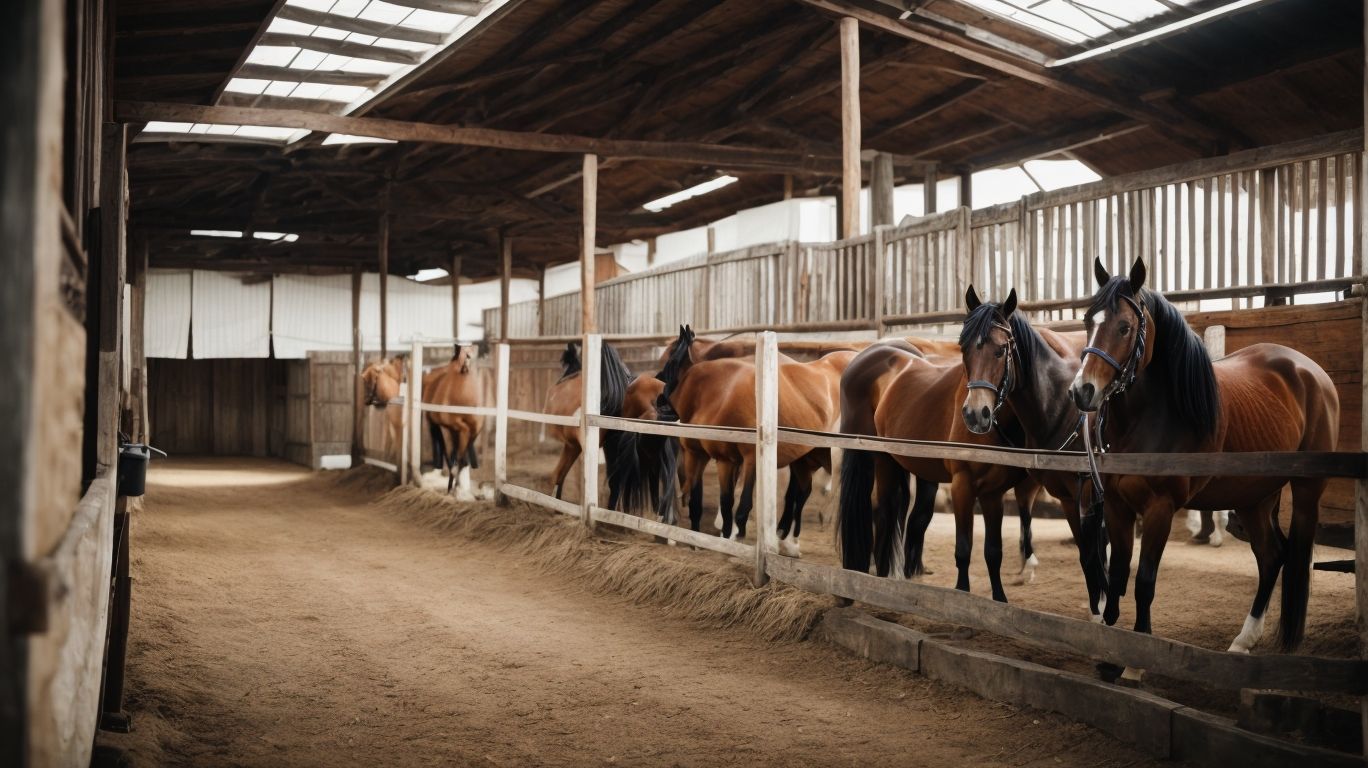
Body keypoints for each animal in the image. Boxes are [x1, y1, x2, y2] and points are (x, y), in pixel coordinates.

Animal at [639, 325, 853, 557]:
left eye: (671, 361)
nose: (659, 399)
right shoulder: (720, 458)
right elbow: (723, 500)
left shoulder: (749, 458)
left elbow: (744, 502)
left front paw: (735, 535)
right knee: (801, 493)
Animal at [837, 332, 1041, 602]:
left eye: (1001, 353)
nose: (976, 415)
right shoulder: (962, 485)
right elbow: (963, 546)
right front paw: (961, 593)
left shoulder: (992, 493)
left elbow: (993, 551)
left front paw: (1000, 599)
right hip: (877, 458)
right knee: (883, 513)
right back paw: (878, 578)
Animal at [956, 287, 1105, 617]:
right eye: (963, 348)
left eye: (1001, 350)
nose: (974, 415)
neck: (1061, 406)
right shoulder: (1068, 497)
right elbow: (1087, 552)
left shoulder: (1086, 492)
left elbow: (1092, 550)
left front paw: (1099, 608)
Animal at [1070, 257, 1338, 654]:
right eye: (1089, 321)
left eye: (1125, 327)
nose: (1082, 391)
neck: (1153, 416)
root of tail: (1311, 371)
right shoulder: (1117, 506)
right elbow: (1117, 578)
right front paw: (1110, 653)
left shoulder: (1160, 508)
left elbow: (1144, 582)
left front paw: (1137, 651)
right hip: (1254, 496)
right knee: (1272, 556)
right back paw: (1244, 639)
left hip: (1306, 492)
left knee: (1293, 554)